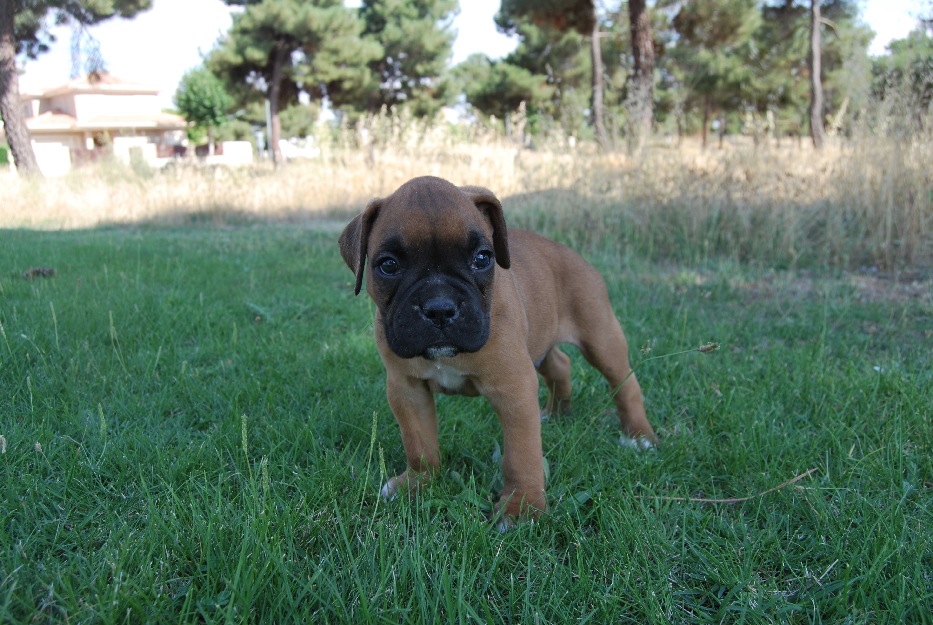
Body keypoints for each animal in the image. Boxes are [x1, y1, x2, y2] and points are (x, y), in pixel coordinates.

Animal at [336, 174, 656, 528]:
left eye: (482, 258)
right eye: (388, 266)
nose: (439, 307)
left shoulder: (514, 388)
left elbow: (520, 455)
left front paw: (521, 508)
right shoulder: (407, 390)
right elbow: (419, 444)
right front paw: (418, 483)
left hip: (601, 337)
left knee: (625, 383)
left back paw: (639, 435)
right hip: (540, 344)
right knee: (560, 365)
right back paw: (557, 413)